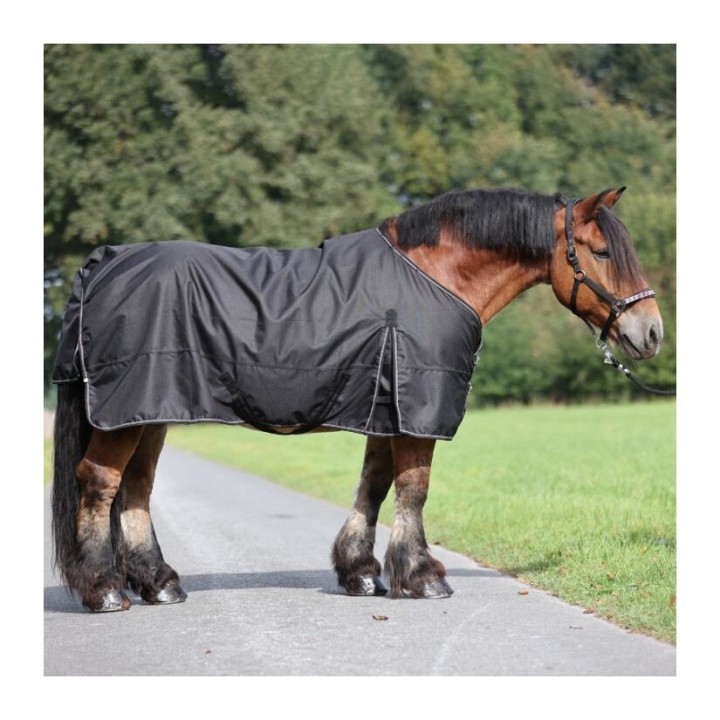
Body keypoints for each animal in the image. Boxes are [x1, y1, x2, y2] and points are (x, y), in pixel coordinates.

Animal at [50, 186, 665, 612]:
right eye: (601, 251)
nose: (651, 332)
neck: (436, 276)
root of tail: (104, 264)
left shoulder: (383, 409)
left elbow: (374, 484)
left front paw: (362, 572)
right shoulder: (417, 411)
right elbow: (413, 489)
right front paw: (423, 575)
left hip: (150, 411)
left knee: (135, 489)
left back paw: (160, 583)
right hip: (126, 414)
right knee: (100, 484)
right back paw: (105, 589)